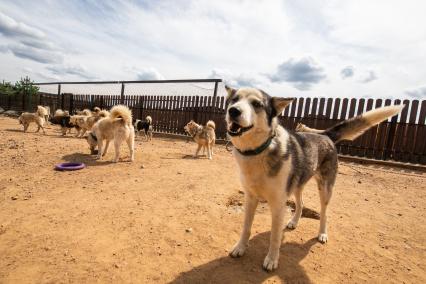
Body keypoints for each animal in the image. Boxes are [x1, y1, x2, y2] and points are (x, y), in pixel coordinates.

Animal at [225, 85, 404, 272]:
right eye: (234, 100)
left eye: (256, 104)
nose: (233, 111)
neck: (257, 151)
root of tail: (325, 134)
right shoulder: (250, 198)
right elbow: (246, 227)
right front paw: (240, 248)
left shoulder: (278, 203)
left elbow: (275, 236)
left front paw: (272, 259)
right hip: (297, 185)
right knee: (301, 204)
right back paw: (294, 222)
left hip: (325, 189)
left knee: (324, 213)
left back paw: (322, 234)